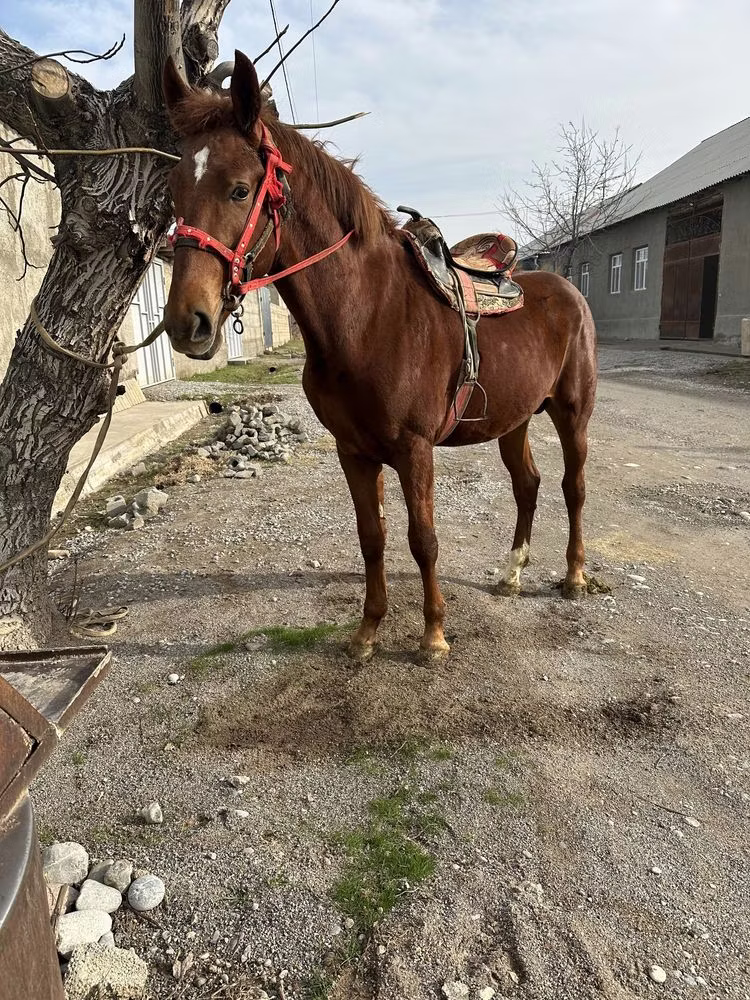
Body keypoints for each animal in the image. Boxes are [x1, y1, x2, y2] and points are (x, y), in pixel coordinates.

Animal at [161, 51, 598, 661]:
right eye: (174, 189)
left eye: (241, 190)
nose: (187, 322)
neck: (367, 318)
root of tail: (566, 290)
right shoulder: (354, 452)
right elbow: (373, 537)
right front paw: (367, 632)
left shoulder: (415, 450)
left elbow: (423, 540)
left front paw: (433, 635)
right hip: (514, 420)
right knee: (527, 484)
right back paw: (511, 574)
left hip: (572, 413)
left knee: (572, 489)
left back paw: (575, 576)